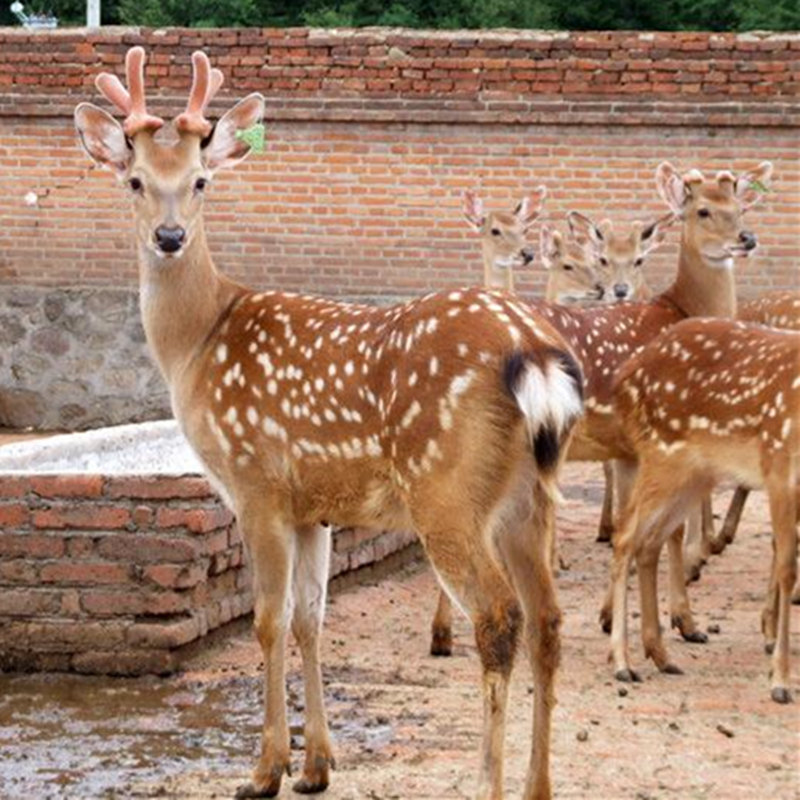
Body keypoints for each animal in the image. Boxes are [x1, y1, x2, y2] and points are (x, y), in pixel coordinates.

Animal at [78, 48, 584, 800]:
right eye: (136, 179)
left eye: (200, 180)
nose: (169, 237)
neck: (197, 342)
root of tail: (537, 356)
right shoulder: (313, 506)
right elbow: (311, 619)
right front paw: (317, 764)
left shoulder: (255, 482)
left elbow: (267, 621)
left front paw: (265, 770)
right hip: (532, 494)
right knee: (549, 619)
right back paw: (537, 786)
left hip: (447, 490)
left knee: (500, 617)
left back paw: (486, 782)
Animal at [608, 316, 800, 704]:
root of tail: (625, 375)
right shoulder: (779, 465)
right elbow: (788, 568)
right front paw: (780, 681)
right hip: (663, 455)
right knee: (625, 535)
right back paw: (623, 663)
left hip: (696, 473)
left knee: (649, 541)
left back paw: (662, 655)